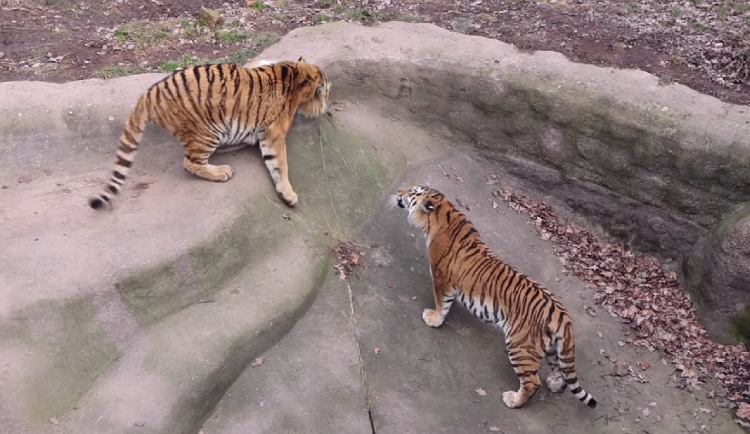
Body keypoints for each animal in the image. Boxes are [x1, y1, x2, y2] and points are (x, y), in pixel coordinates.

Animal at [89, 56, 332, 210]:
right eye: (326, 92)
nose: (326, 105)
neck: (295, 74)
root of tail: (151, 93)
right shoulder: (274, 135)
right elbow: (280, 166)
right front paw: (289, 195)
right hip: (207, 132)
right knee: (190, 162)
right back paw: (221, 171)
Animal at [394, 186, 600, 410]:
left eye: (413, 191)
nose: (399, 191)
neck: (445, 214)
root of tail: (563, 316)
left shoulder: (442, 280)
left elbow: (442, 304)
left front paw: (433, 319)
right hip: (553, 350)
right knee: (559, 372)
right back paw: (554, 384)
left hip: (520, 346)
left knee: (532, 382)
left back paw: (513, 400)